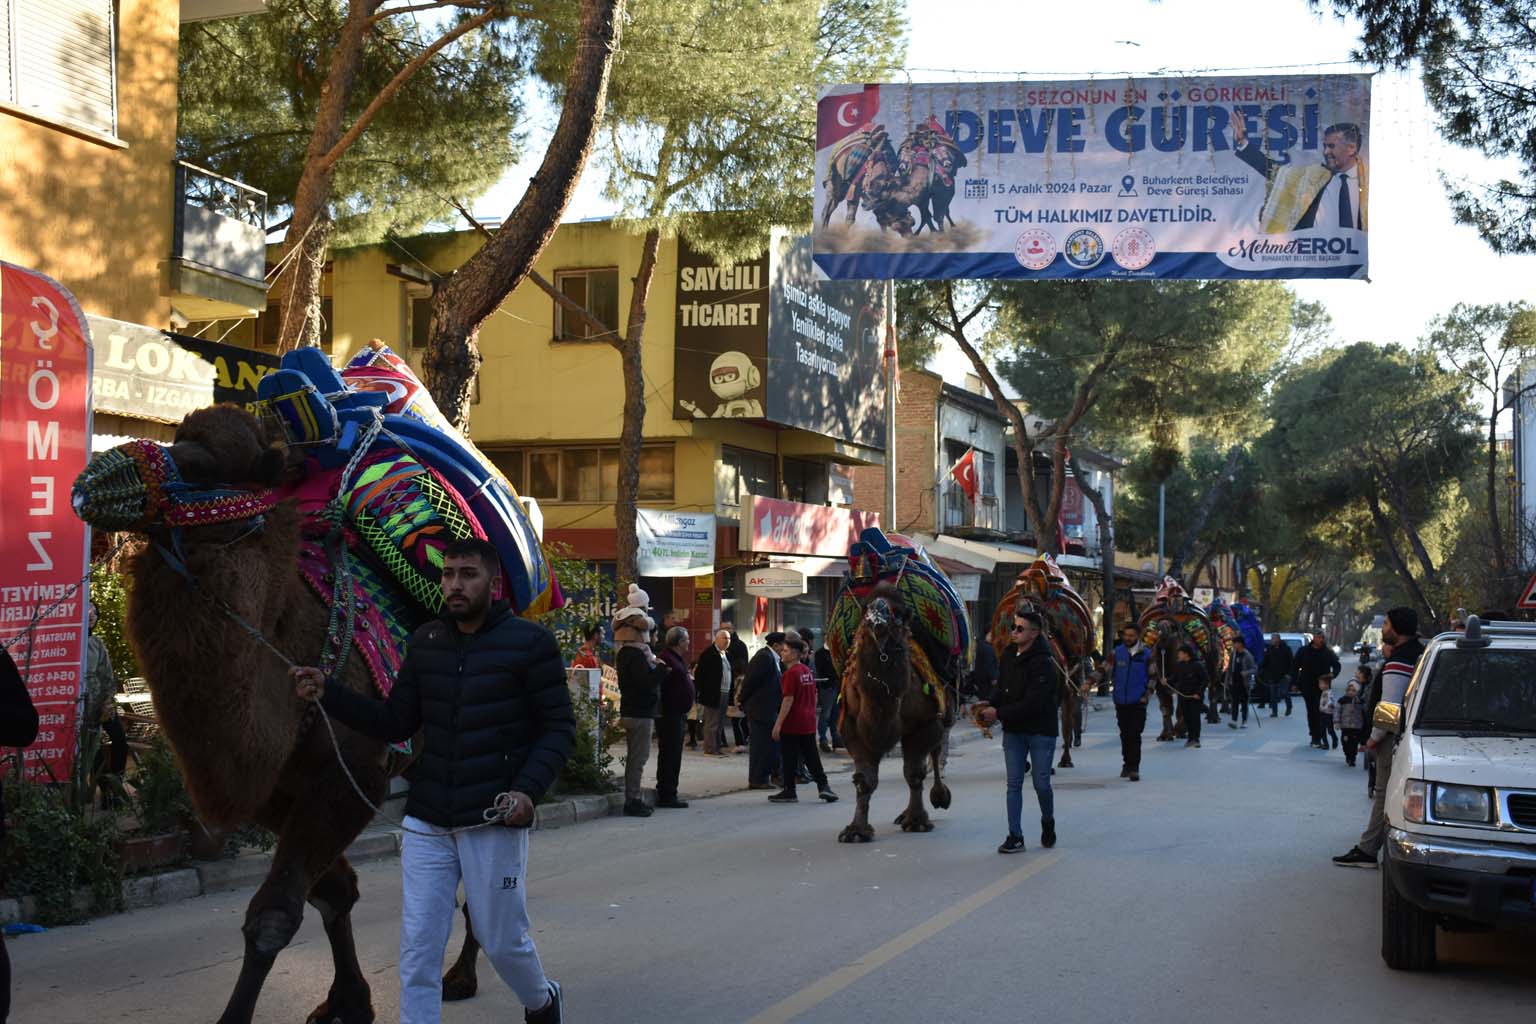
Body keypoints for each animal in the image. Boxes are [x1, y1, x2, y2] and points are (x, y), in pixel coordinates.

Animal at [835, 583, 952, 841]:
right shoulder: (852, 730)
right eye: (866, 609)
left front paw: (917, 821)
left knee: (936, 753)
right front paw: (856, 831)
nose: (876, 617)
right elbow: (864, 781)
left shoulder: (925, 724)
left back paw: (938, 796)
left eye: (899, 613)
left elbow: (914, 773)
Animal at [989, 555, 1099, 764]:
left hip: (1069, 684)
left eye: (1037, 610)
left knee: (1067, 718)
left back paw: (1065, 758)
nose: (1015, 631)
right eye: (1012, 619)